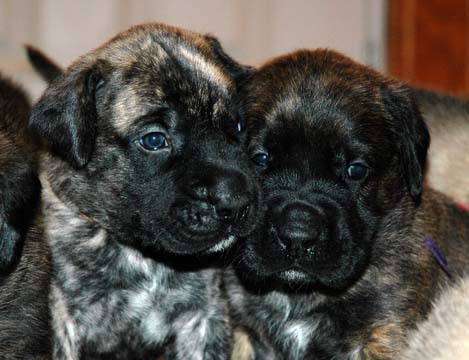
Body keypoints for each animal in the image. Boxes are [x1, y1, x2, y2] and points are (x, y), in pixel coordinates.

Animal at [30, 23, 260, 360]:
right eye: (153, 140)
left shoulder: (203, 320)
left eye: (239, 126)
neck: (141, 255)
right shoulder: (62, 322)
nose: (235, 202)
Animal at [226, 50, 468, 360]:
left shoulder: (387, 335)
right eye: (260, 159)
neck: (301, 295)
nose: (297, 237)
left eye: (356, 170)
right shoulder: (242, 331)